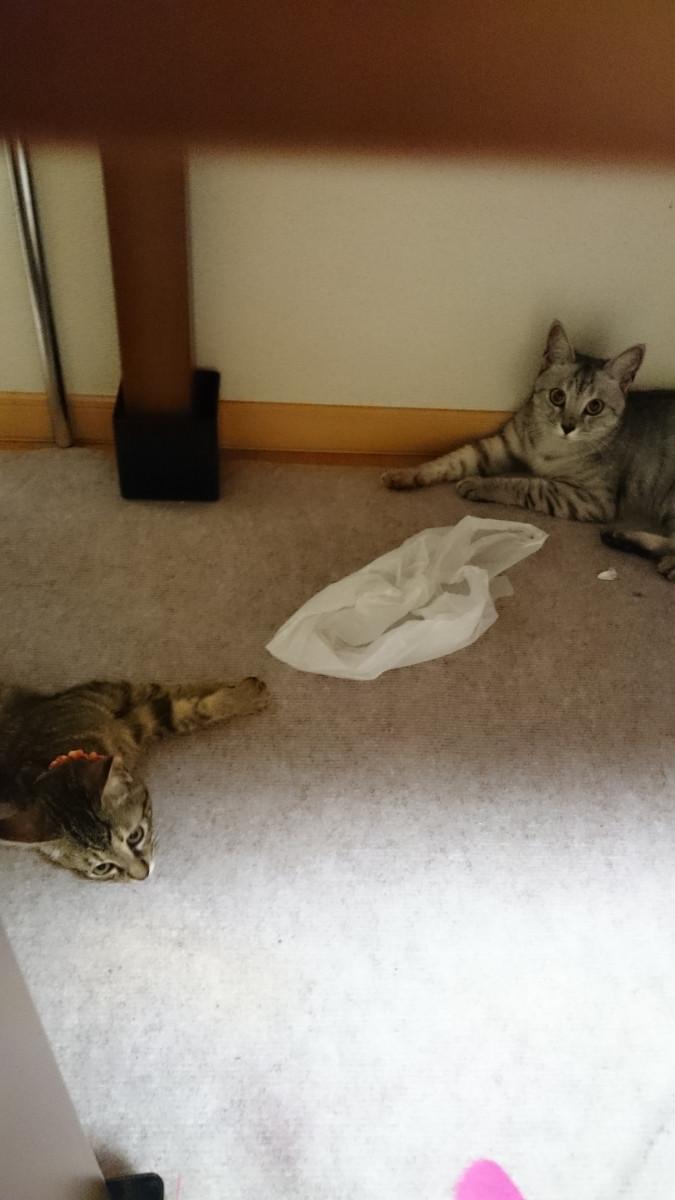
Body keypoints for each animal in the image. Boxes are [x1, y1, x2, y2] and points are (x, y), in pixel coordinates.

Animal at [0, 676, 269, 880]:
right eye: (102, 868)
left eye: (134, 836)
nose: (142, 876)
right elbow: (187, 709)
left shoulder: (125, 699)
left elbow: (187, 700)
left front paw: (243, 694)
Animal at [383, 320, 675, 580]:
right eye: (557, 396)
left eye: (595, 407)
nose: (567, 426)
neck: (550, 445)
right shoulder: (499, 445)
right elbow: (453, 459)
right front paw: (406, 474)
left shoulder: (590, 499)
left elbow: (527, 486)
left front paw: (479, 484)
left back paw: (654, 556)